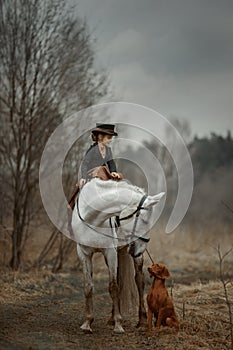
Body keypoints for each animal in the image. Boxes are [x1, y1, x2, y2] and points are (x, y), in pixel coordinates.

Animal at [72, 178, 165, 334]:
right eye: (143, 220)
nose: (141, 249)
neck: (92, 219)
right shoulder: (84, 253)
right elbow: (88, 286)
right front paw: (87, 323)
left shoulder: (110, 252)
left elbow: (113, 287)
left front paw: (118, 325)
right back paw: (111, 318)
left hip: (131, 257)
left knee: (139, 281)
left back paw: (142, 320)